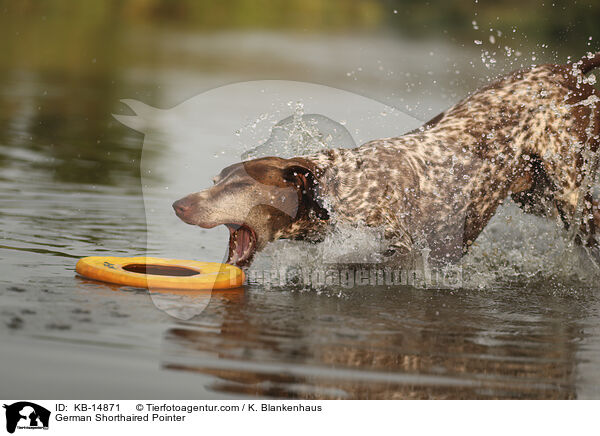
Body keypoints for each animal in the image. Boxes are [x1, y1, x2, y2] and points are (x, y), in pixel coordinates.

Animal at [173, 52, 600, 268]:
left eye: (241, 184)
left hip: (573, 201)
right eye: (216, 181)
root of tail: (567, 69)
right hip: (535, 197)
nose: (178, 205)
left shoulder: (402, 250)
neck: (337, 192)